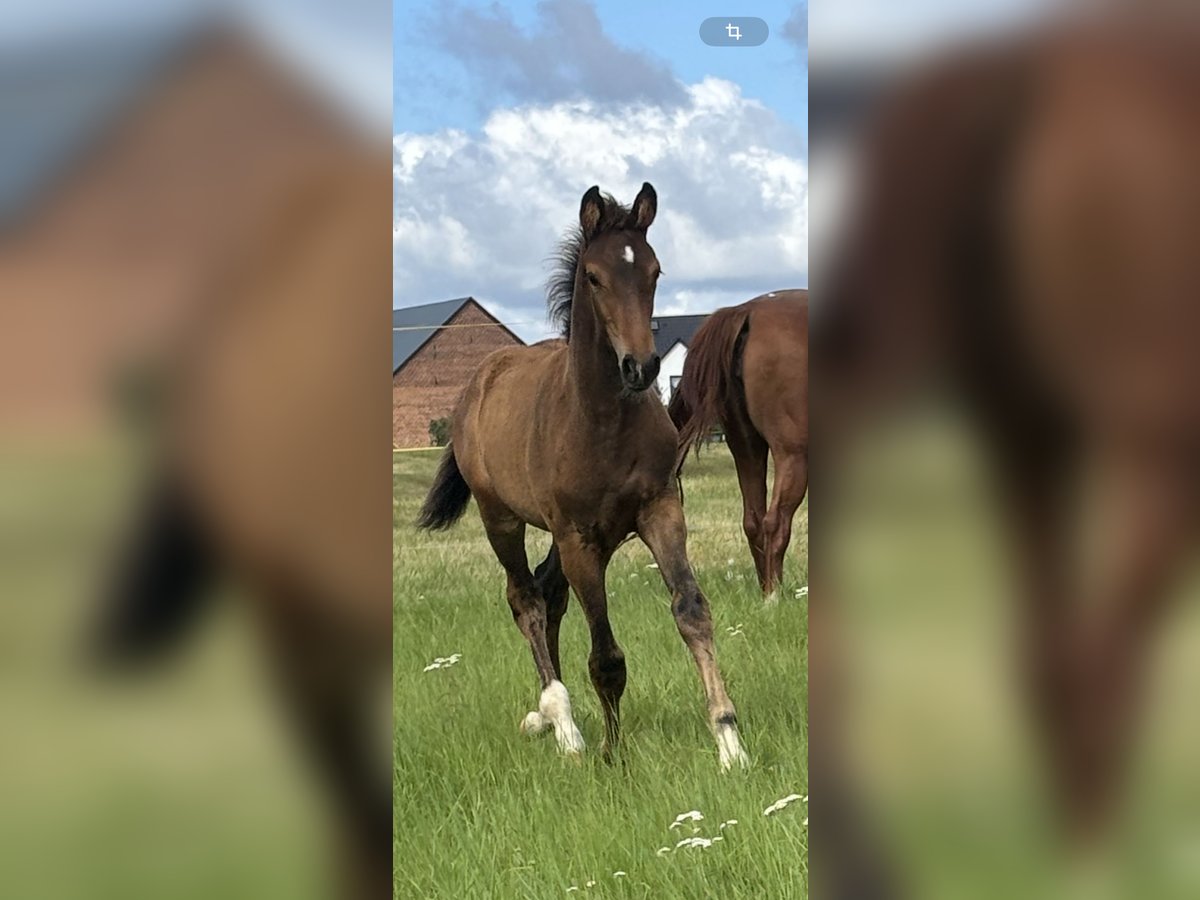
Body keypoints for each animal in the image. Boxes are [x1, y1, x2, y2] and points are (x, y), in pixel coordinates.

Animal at [417, 183, 748, 770]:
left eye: (655, 271)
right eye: (593, 276)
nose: (642, 366)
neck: (601, 421)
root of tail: (478, 382)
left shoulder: (660, 511)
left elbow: (691, 611)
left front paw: (729, 742)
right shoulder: (579, 538)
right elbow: (606, 655)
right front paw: (612, 754)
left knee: (548, 594)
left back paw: (549, 718)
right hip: (503, 519)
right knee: (525, 599)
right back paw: (563, 724)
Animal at [669, 292, 808, 600]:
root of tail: (746, 311)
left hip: (746, 448)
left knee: (753, 522)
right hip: (792, 455)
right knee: (774, 522)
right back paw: (774, 597)